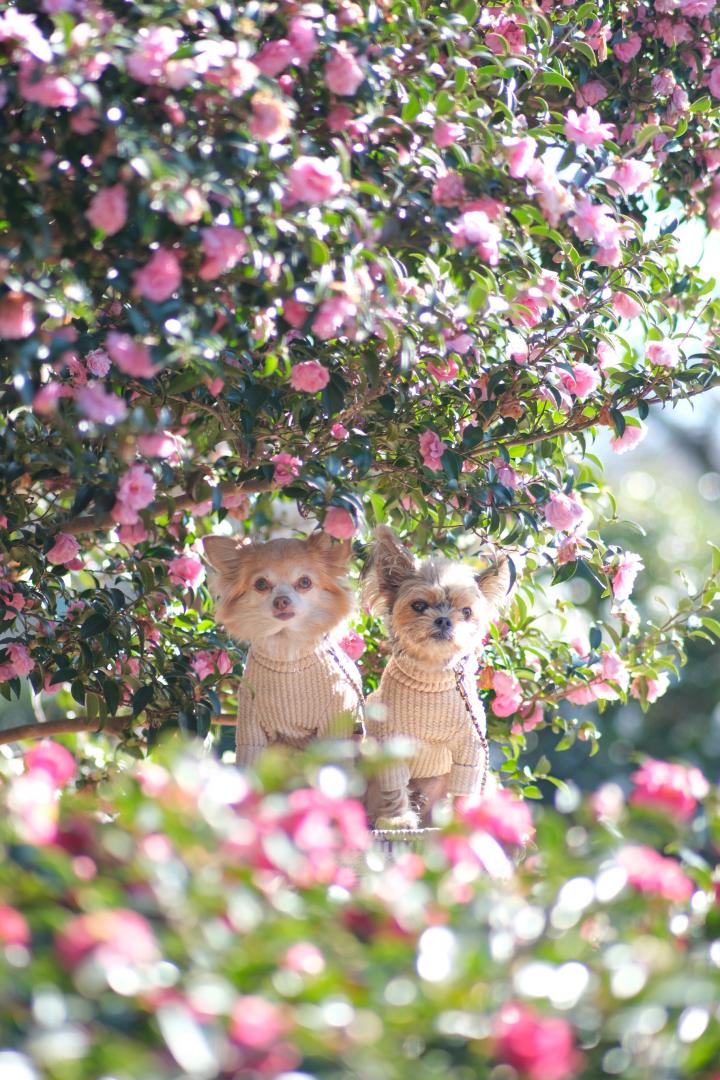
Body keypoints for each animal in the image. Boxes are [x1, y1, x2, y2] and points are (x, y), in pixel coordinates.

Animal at [202, 531, 362, 768]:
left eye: (305, 582)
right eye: (261, 584)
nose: (281, 601)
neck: (287, 652)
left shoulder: (336, 721)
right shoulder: (251, 727)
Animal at [362, 527, 509, 829]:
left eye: (466, 612)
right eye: (419, 605)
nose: (443, 620)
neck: (429, 676)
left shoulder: (471, 749)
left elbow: (464, 789)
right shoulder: (388, 743)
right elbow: (394, 787)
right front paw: (397, 819)